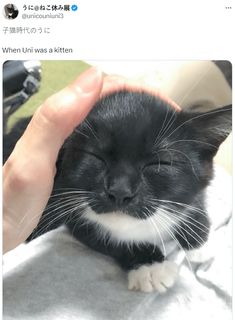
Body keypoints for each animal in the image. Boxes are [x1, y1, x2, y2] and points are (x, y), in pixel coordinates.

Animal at [3, 89, 231, 292]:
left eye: (160, 163)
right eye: (95, 156)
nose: (120, 191)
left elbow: (195, 201)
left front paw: (201, 243)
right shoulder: (69, 210)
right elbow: (107, 238)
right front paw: (151, 266)